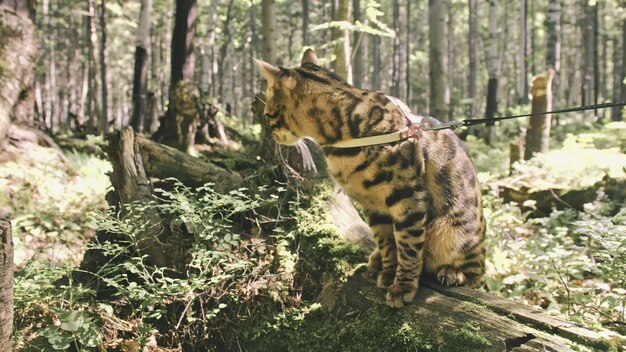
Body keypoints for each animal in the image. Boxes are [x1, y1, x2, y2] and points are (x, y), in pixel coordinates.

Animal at [252, 49, 482, 308]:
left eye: (268, 115)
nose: (271, 134)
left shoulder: (409, 197)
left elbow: (408, 245)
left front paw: (403, 285)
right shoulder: (372, 204)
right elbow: (387, 241)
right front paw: (389, 270)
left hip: (455, 230)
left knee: (476, 271)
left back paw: (453, 272)